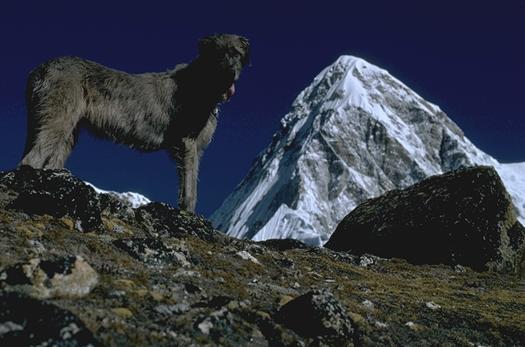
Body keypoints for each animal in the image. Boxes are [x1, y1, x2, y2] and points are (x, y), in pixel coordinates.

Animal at [20, 34, 250, 212]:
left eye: (236, 53)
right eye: (217, 53)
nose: (231, 74)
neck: (203, 80)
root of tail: (39, 68)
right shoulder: (187, 144)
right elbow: (190, 189)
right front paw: (189, 215)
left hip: (66, 131)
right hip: (58, 118)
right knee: (31, 159)